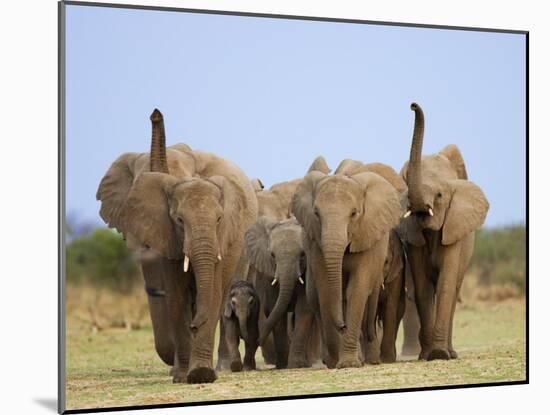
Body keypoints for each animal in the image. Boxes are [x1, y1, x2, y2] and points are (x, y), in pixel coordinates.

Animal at [96, 109, 258, 384]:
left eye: (219, 219)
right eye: (179, 220)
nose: (155, 114)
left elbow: (212, 293)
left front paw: (202, 374)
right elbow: (175, 296)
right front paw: (183, 375)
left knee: (225, 295)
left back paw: (224, 367)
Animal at [294, 162, 402, 368]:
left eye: (354, 213)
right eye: (316, 214)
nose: (342, 326)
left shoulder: (366, 236)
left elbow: (357, 289)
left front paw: (349, 364)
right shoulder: (316, 243)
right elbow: (326, 290)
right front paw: (339, 362)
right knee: (316, 299)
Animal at [396, 103, 492, 360]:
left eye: (439, 195)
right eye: (405, 184)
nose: (412, 105)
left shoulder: (453, 228)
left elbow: (446, 284)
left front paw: (439, 354)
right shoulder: (413, 237)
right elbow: (422, 287)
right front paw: (427, 355)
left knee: (454, 287)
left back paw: (451, 352)